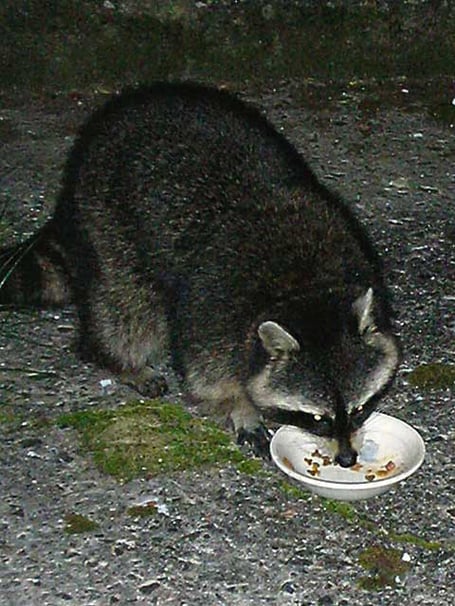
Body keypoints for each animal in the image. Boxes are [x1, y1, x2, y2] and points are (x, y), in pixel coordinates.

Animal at [0, 82, 400, 467]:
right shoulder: (213, 308)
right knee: (126, 311)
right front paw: (239, 405)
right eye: (317, 419)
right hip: (105, 220)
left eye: (360, 408)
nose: (346, 459)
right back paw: (120, 360)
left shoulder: (353, 252)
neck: (302, 286)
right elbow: (205, 375)